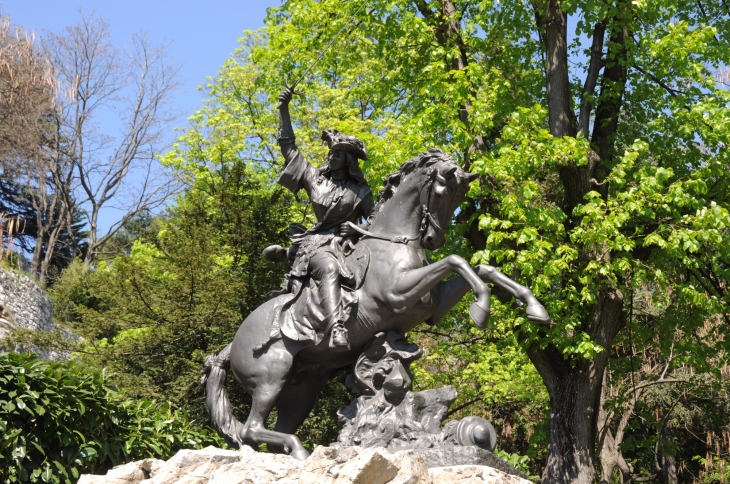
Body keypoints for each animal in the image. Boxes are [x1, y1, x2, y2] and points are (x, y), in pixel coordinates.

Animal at [200, 149, 544, 460]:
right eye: (442, 192)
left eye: (461, 196)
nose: (434, 239)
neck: (392, 241)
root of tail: (228, 348)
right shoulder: (398, 293)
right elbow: (457, 260)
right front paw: (481, 308)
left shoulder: (432, 307)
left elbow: (482, 267)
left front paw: (534, 308)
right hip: (272, 375)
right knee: (251, 428)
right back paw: (300, 449)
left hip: (302, 388)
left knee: (268, 429)